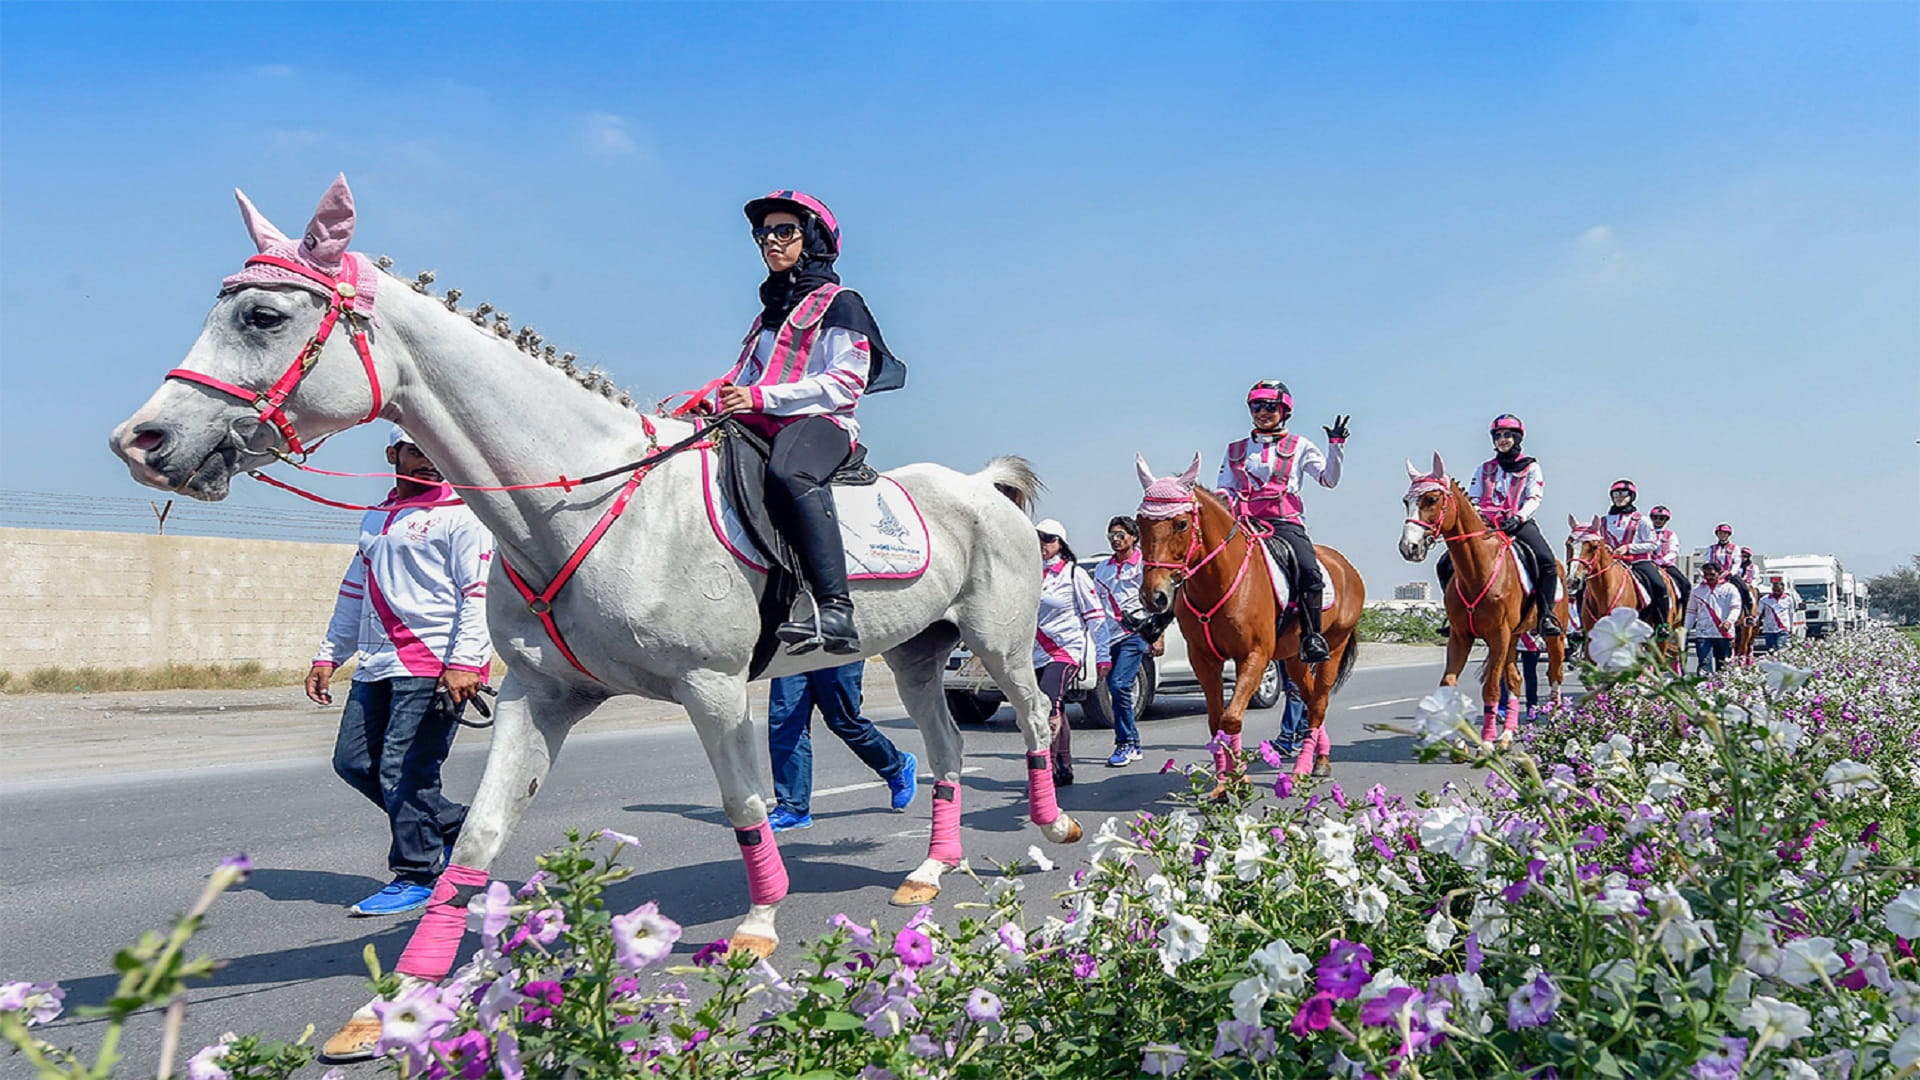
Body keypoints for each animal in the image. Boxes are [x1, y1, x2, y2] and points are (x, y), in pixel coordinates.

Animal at [108, 174, 1082, 1053]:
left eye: (262, 318)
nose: (141, 442)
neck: (589, 509)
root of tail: (983, 487)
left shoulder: (715, 687)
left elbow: (744, 802)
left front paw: (759, 923)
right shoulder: (536, 696)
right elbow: (479, 838)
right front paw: (399, 1003)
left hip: (995, 642)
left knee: (1036, 713)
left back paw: (1052, 826)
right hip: (919, 652)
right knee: (945, 747)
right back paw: (930, 870)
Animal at [1128, 451, 1374, 780]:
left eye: (1181, 524)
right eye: (1140, 522)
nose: (1154, 596)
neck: (1219, 580)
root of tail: (1345, 566)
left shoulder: (1254, 656)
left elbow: (1230, 719)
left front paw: (1238, 778)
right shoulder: (1203, 659)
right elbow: (1215, 720)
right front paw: (1223, 781)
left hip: (1333, 646)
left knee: (1319, 702)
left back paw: (1310, 765)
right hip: (1294, 656)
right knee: (1309, 699)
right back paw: (1319, 755)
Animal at [1405, 449, 1566, 745]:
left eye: (1431, 499)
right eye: (1405, 501)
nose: (1409, 547)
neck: (1479, 570)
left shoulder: (1498, 635)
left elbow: (1491, 688)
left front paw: (1487, 742)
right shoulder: (1462, 635)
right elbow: (1449, 684)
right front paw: (1460, 740)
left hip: (1552, 637)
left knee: (1554, 673)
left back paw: (1554, 720)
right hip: (1514, 637)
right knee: (1515, 679)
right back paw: (1508, 735)